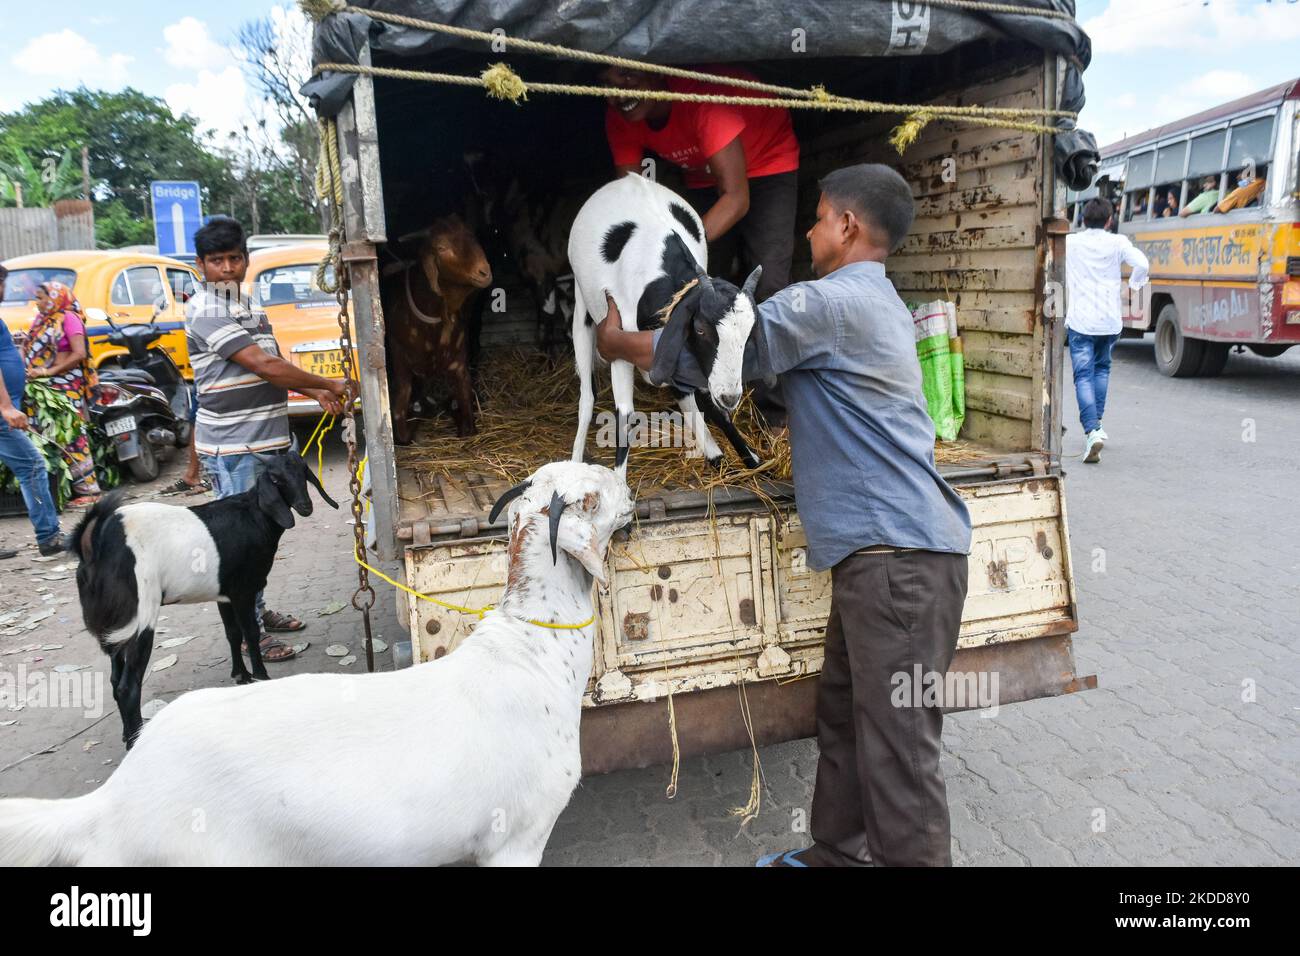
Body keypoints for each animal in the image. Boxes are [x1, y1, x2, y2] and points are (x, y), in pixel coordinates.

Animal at [69, 452, 338, 749]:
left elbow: (232, 633)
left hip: (115, 626)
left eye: (303, 473)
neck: (253, 515)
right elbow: (251, 633)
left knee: (115, 680)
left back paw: (127, 735)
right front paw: (260, 677)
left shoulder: (224, 594)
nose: (305, 506)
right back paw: (135, 741)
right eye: (276, 479)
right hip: (140, 618)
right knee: (128, 686)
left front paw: (241, 676)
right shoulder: (244, 590)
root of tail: (94, 546)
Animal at [384, 214, 491, 442]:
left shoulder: (459, 361)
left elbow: (467, 414)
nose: (484, 272)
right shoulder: (400, 360)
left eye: (473, 236)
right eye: (441, 247)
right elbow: (399, 411)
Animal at [566, 172, 759, 476]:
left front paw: (750, 460)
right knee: (587, 397)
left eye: (749, 335)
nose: (731, 397)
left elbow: (710, 404)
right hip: (581, 309)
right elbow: (624, 415)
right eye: (701, 329)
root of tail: (627, 179)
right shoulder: (617, 343)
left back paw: (714, 452)